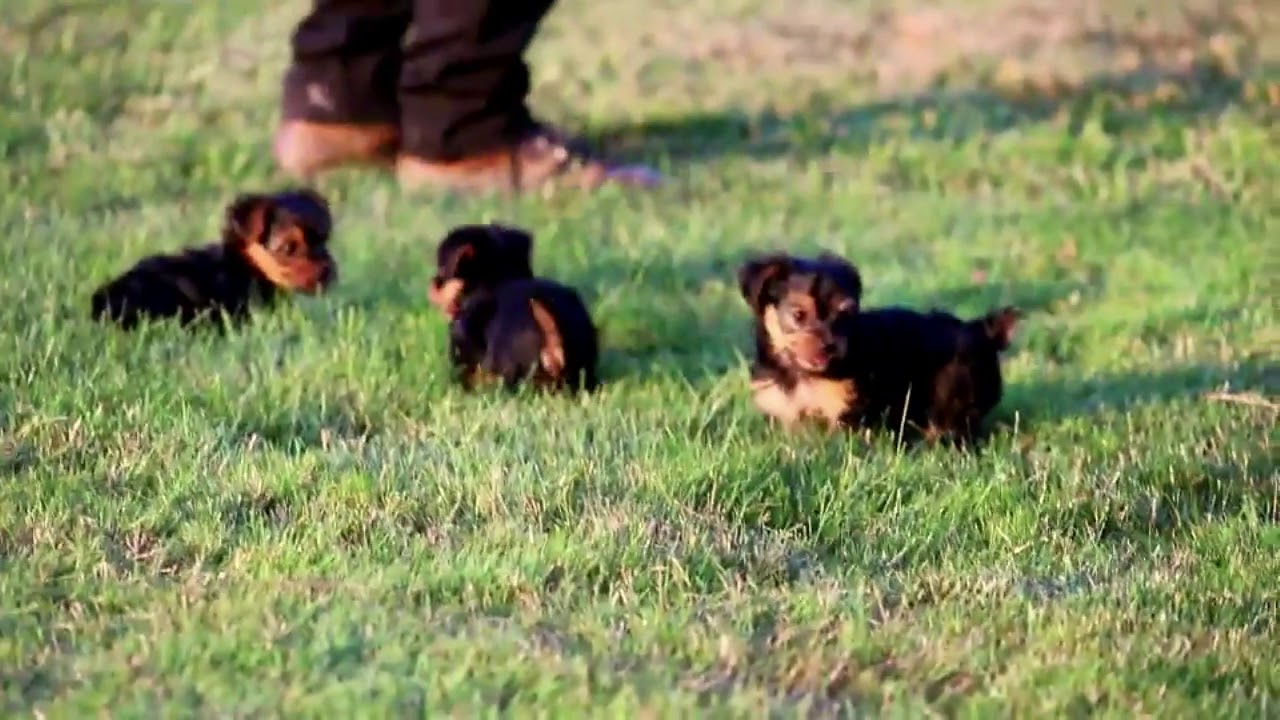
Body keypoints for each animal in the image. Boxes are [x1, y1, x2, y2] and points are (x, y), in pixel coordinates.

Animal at [742, 251, 1018, 443]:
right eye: (798, 314)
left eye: (844, 314)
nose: (830, 347)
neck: (797, 372)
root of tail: (981, 329)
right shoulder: (783, 410)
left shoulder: (844, 411)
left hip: (956, 394)